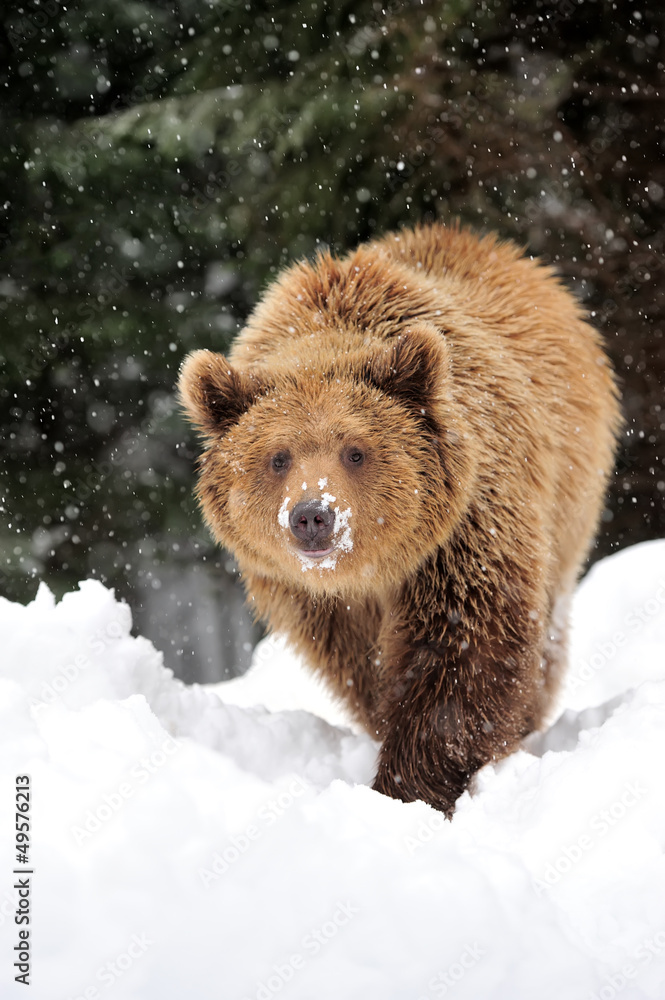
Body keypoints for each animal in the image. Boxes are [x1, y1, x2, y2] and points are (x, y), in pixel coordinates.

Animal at [178, 222, 621, 816]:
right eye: (278, 456)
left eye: (355, 450)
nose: (313, 515)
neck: (371, 571)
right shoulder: (317, 603)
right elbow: (360, 668)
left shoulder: (464, 536)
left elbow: (461, 653)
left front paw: (408, 785)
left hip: (570, 501)